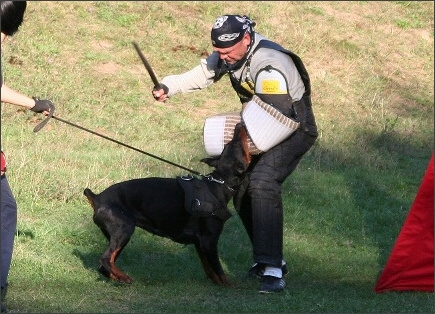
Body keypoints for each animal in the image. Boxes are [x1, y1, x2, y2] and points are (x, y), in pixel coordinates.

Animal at [84, 124, 252, 286]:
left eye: (229, 144)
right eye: (238, 144)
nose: (239, 125)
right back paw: (123, 277)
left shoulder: (200, 244)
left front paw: (215, 283)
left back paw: (118, 277)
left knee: (104, 265)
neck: (219, 184)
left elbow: (209, 269)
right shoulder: (209, 241)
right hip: (124, 229)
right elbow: (219, 270)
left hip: (118, 235)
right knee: (105, 259)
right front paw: (229, 286)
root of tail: (97, 198)